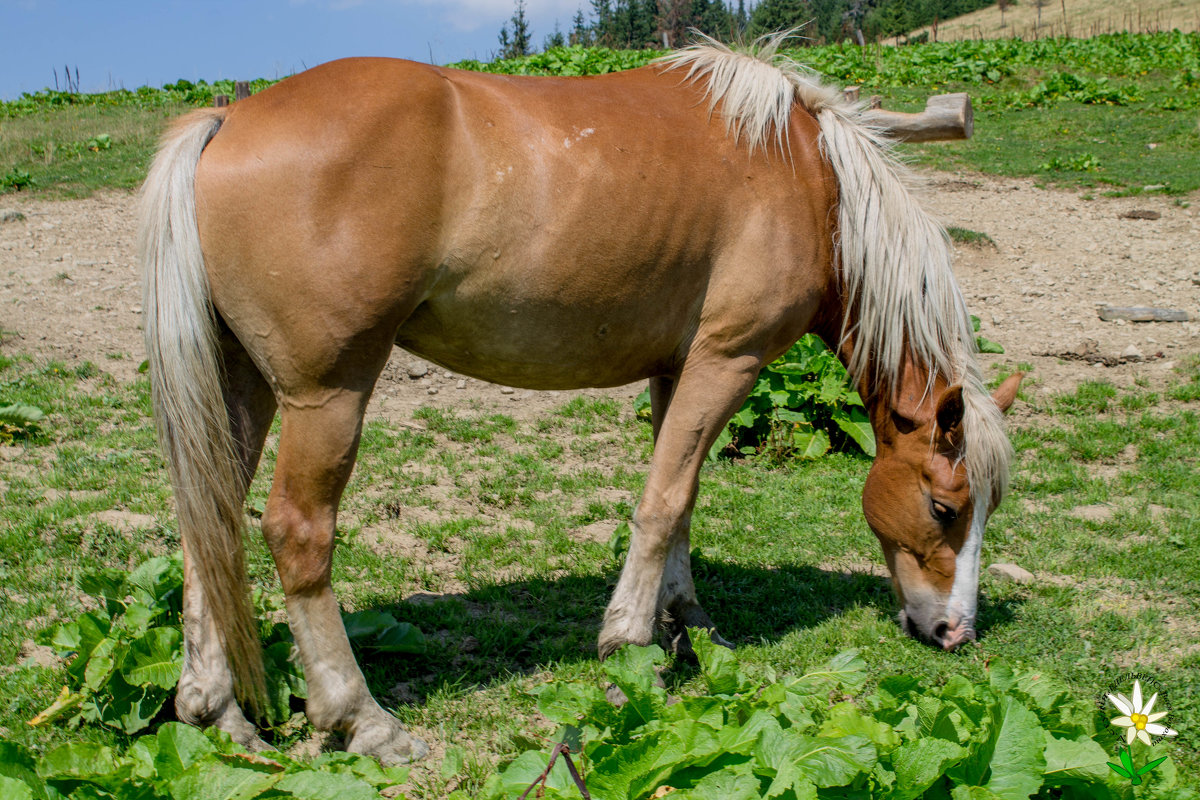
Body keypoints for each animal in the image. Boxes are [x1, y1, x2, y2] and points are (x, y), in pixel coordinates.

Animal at [142, 35, 1022, 762]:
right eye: (945, 507)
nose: (955, 631)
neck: (810, 178)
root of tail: (228, 117)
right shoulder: (726, 360)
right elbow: (661, 504)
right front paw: (628, 645)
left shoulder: (679, 370)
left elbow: (683, 500)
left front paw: (689, 629)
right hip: (328, 395)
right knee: (297, 535)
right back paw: (363, 720)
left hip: (241, 387)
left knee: (208, 522)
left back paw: (216, 710)